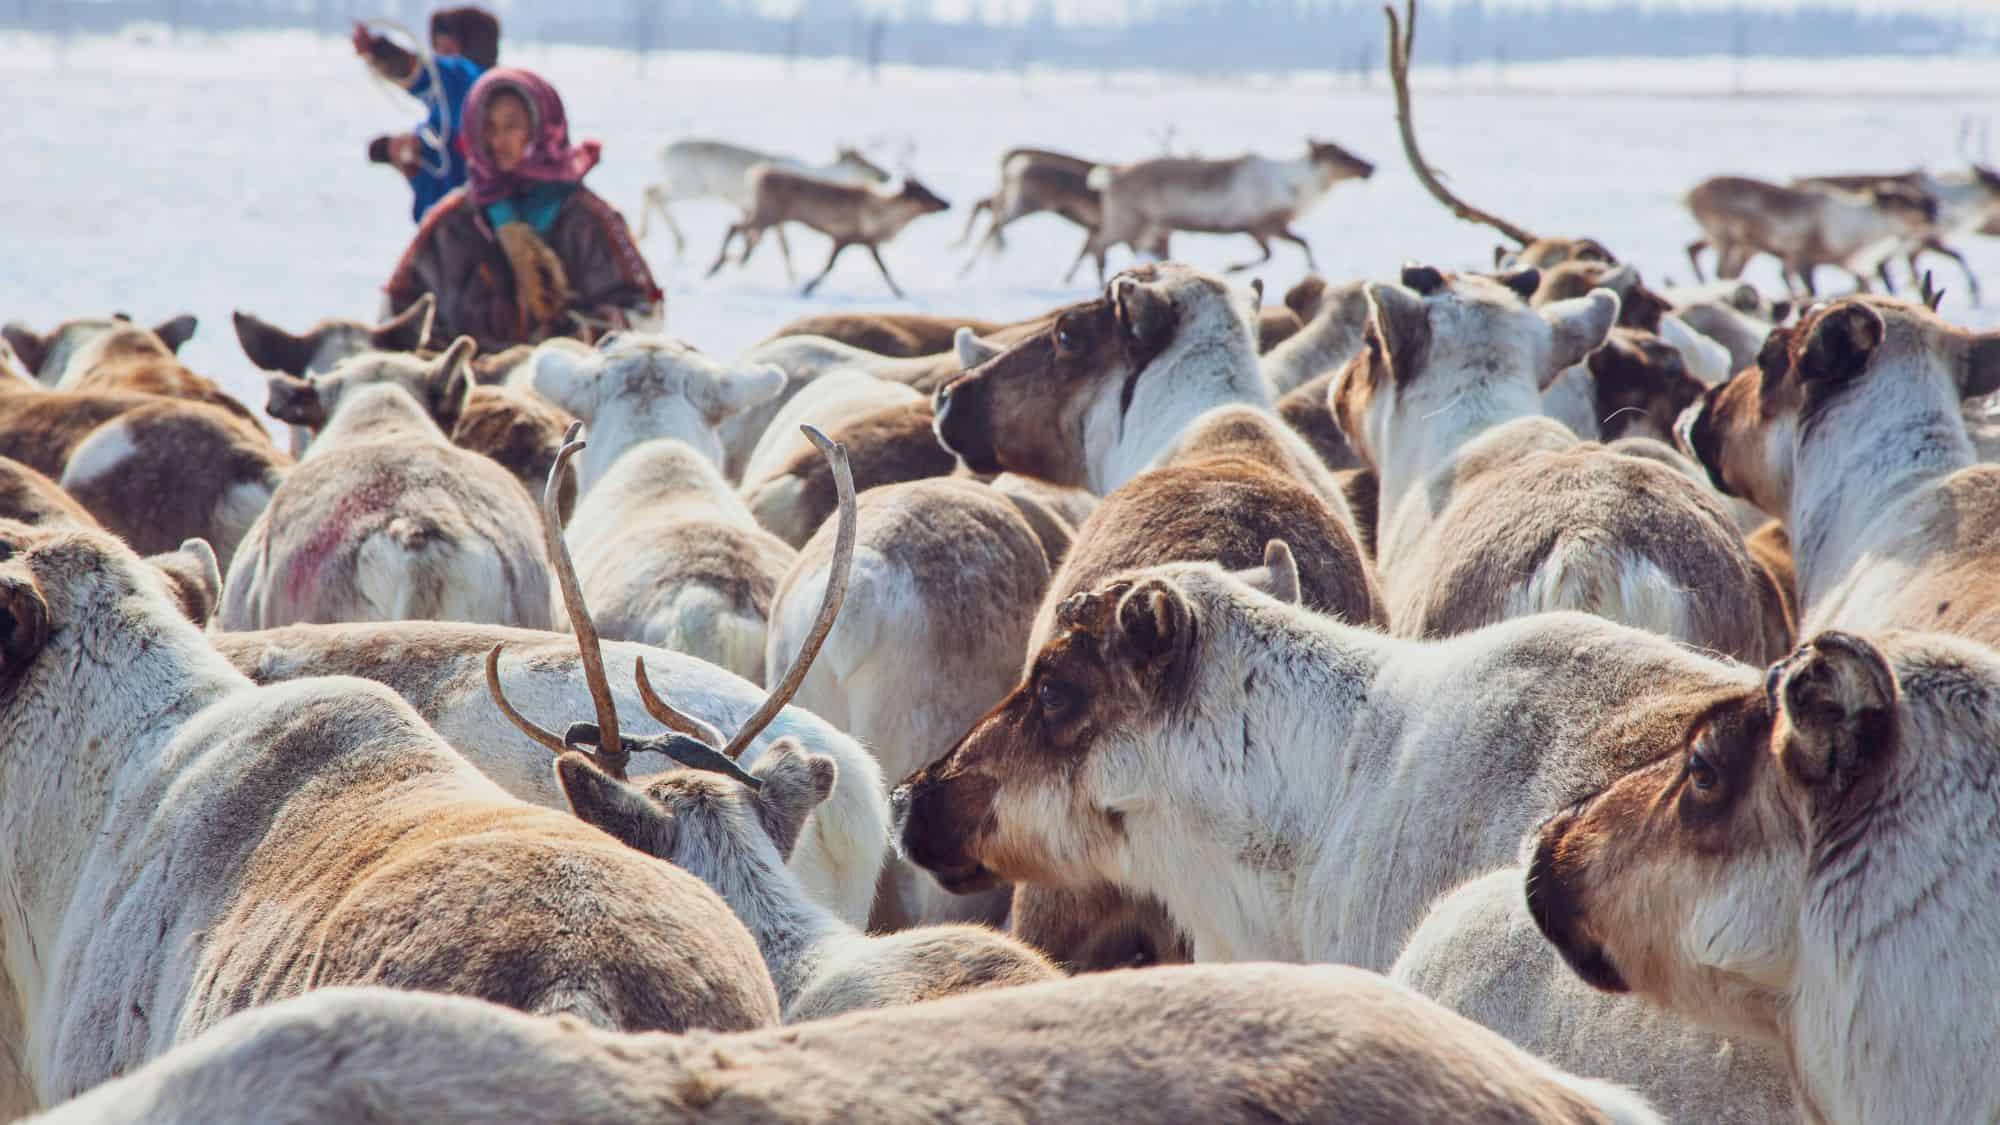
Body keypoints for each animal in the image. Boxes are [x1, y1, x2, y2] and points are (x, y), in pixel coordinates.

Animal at [635, 139, 890, 254]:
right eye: (864, 163)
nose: (886, 175)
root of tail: (661, 151)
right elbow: (782, 245)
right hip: (691, 186)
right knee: (653, 193)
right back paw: (663, 237)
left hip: (686, 185)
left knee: (651, 190)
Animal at [706, 170, 950, 299]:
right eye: (925, 194)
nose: (948, 203)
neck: (884, 219)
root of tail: (755, 174)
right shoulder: (842, 238)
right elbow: (829, 266)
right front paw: (808, 287)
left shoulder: (868, 242)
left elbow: (884, 269)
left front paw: (900, 292)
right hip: (767, 215)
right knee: (734, 226)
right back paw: (715, 265)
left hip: (765, 216)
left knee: (742, 231)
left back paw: (730, 261)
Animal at [1084, 139, 1374, 275]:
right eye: (1341, 155)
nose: (1370, 167)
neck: (1298, 189)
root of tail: (1110, 176)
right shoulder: (1262, 226)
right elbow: (1283, 250)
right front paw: (1232, 268)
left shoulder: (1266, 228)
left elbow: (1296, 245)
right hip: (1127, 220)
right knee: (1097, 244)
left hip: (1147, 226)